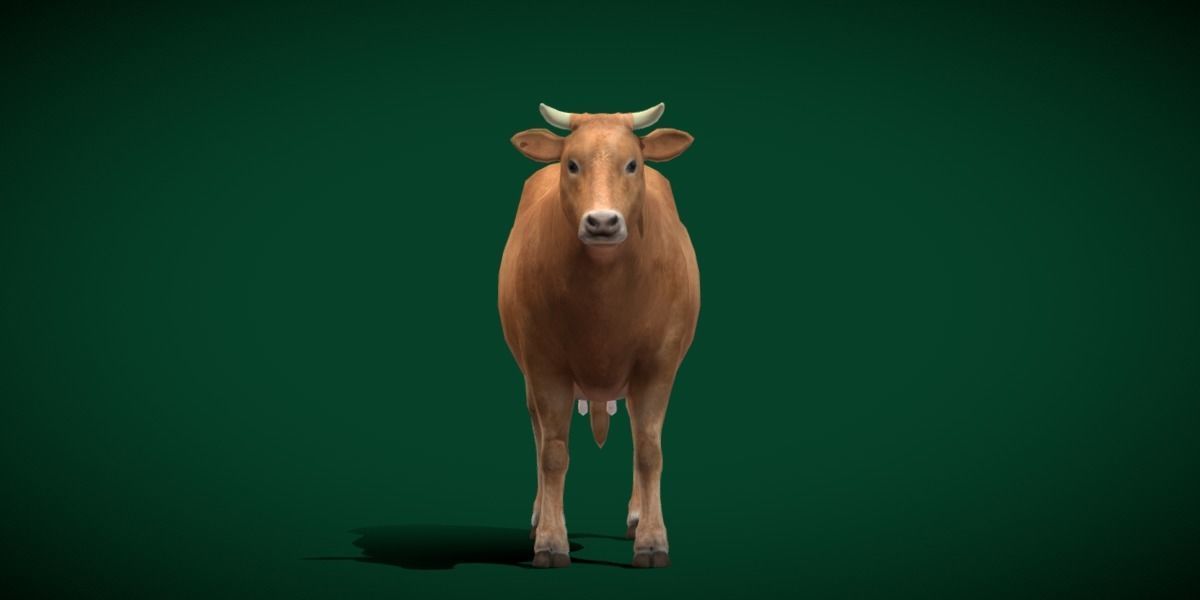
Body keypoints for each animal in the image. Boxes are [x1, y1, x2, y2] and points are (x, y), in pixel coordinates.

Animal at [499, 102, 700, 568]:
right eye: (572, 164)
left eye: (633, 164)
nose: (603, 222)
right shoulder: (544, 364)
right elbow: (552, 453)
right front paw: (550, 540)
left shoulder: (658, 364)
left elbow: (649, 451)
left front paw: (652, 540)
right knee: (538, 435)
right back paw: (539, 515)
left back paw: (637, 515)